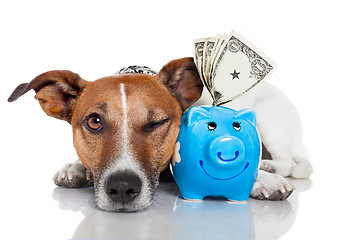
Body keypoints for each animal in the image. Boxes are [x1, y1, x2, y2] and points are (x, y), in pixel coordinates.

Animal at [8, 57, 312, 211]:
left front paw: (261, 180)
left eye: (157, 122)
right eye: (94, 122)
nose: (122, 188)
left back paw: (268, 166)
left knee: (287, 162)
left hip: (269, 119)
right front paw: (76, 167)